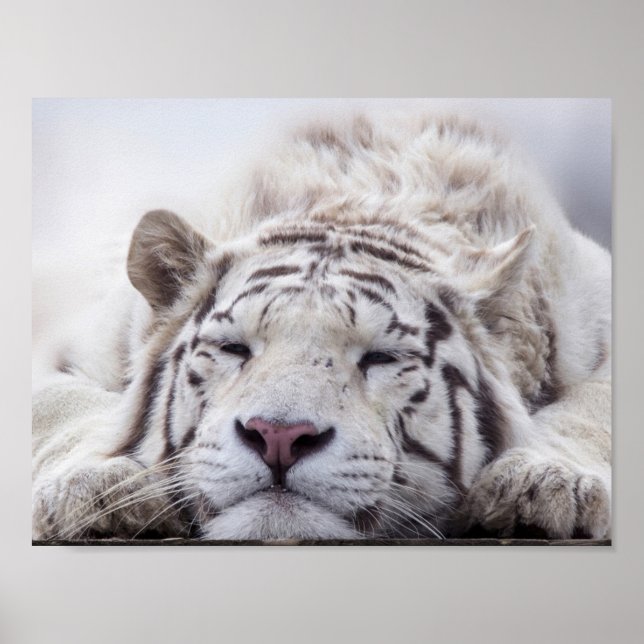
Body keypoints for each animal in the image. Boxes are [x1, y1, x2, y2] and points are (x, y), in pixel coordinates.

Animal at [32, 111, 611, 541]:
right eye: (234, 348)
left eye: (380, 357)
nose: (278, 437)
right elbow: (62, 407)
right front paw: (99, 491)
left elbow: (590, 409)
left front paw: (545, 483)